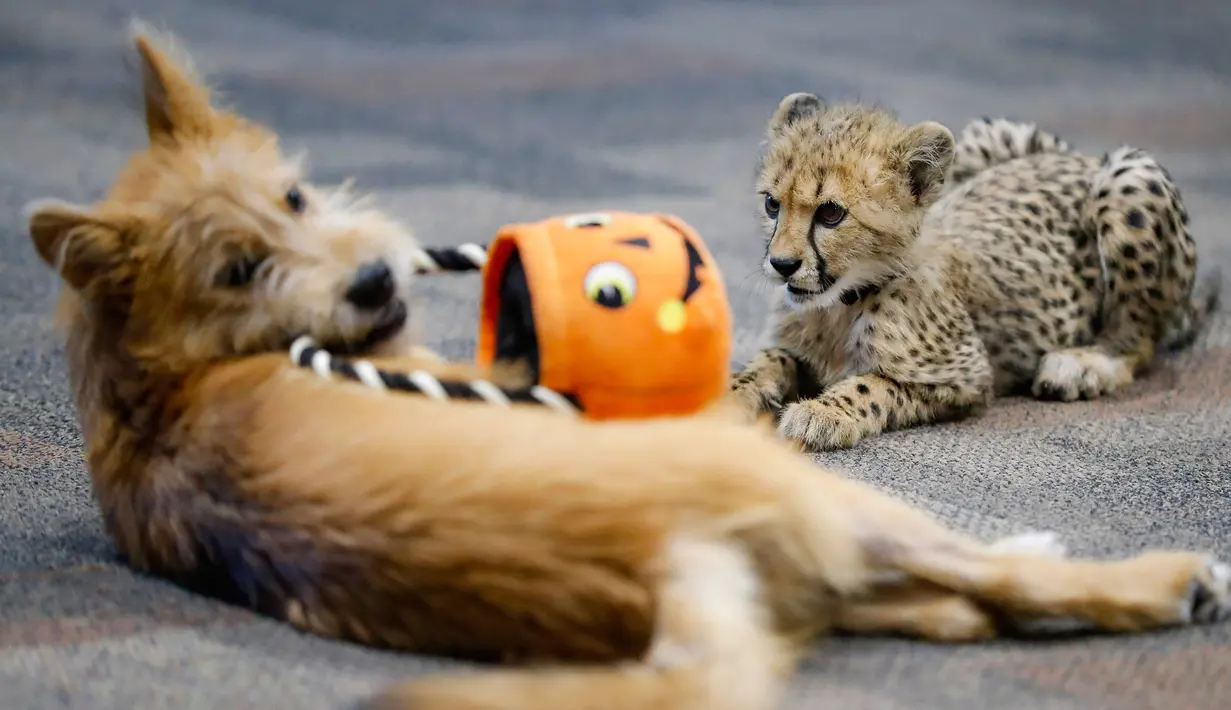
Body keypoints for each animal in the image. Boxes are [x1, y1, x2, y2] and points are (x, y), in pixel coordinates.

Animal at [729, 92, 1222, 452]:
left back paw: (1080, 365)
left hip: (1129, 179)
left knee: (1139, 338)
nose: (782, 264)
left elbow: (873, 385)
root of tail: (1081, 159)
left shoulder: (967, 378)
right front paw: (731, 392)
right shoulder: (794, 347)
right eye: (772, 204)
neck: (842, 301)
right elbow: (769, 360)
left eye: (831, 214)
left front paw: (822, 412)